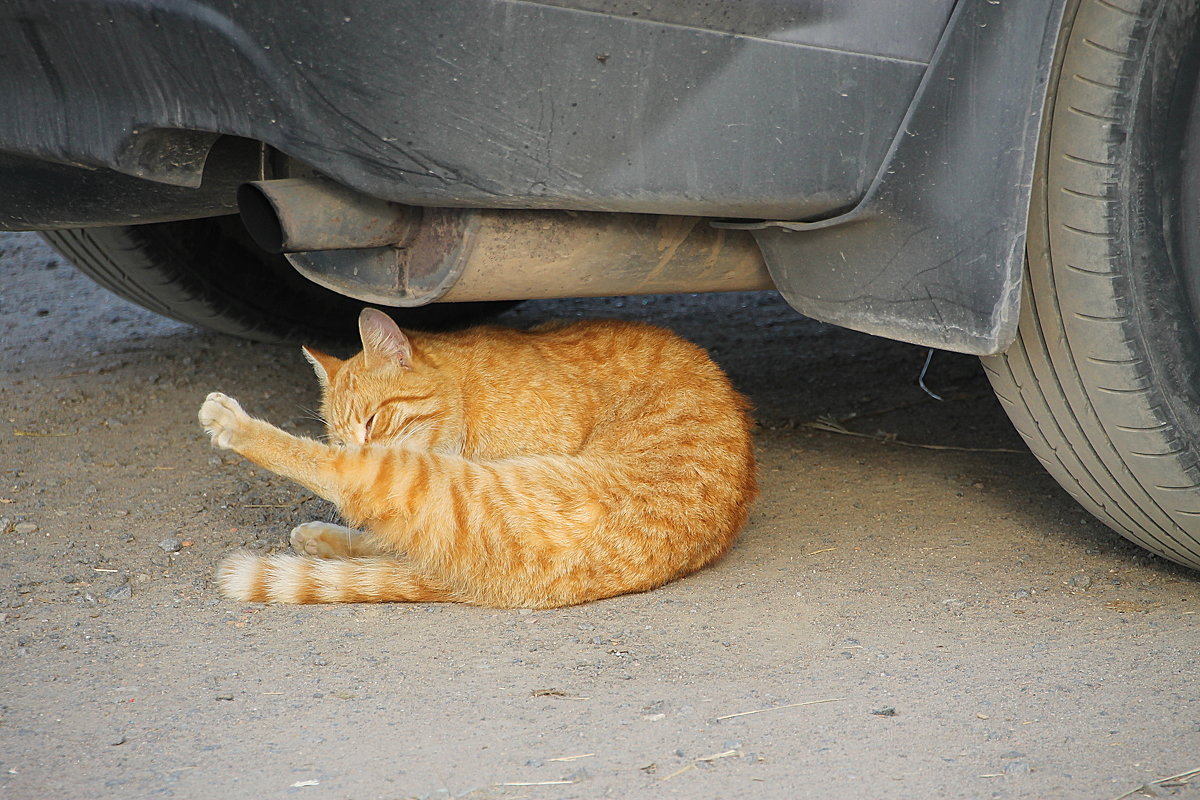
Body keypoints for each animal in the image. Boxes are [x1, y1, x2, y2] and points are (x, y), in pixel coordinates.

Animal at [200, 309, 753, 609]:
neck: (467, 392)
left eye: (373, 422)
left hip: (439, 484)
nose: (354, 447)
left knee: (355, 487)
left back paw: (232, 423)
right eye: (338, 435)